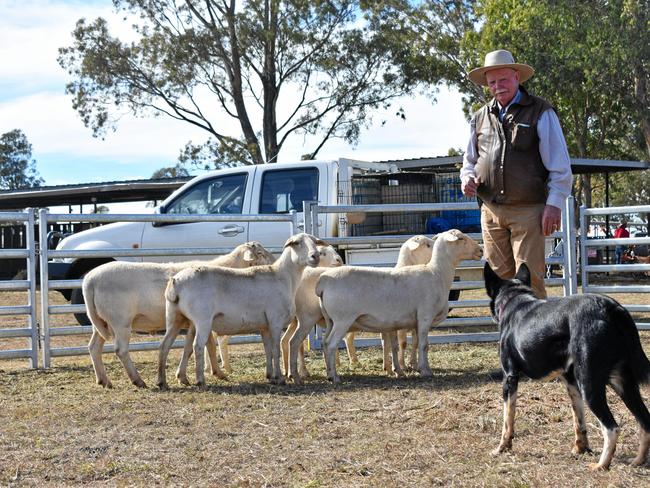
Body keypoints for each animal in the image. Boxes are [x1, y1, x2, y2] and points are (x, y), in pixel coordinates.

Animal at [81, 241, 274, 388]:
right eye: (259, 253)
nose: (273, 262)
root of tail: (89, 281)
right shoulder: (203, 319)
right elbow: (209, 346)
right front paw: (217, 373)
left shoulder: (193, 322)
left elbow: (190, 348)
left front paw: (184, 376)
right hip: (120, 321)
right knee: (120, 349)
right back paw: (138, 380)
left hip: (100, 322)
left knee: (94, 347)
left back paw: (104, 381)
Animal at [158, 233, 322, 388]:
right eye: (297, 243)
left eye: (315, 242)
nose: (315, 256)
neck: (284, 277)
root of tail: (176, 282)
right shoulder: (275, 320)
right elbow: (275, 349)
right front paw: (280, 378)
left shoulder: (264, 326)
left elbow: (268, 350)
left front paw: (270, 376)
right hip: (202, 320)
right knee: (197, 346)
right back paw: (200, 381)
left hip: (175, 317)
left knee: (165, 345)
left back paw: (163, 382)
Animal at [284, 234, 432, 384]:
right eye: (427, 245)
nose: (339, 260)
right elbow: (402, 343)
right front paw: (402, 367)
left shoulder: (391, 324)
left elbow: (395, 344)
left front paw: (393, 368)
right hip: (309, 318)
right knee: (297, 343)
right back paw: (302, 373)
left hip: (297, 320)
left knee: (286, 340)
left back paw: (290, 372)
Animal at [316, 230, 478, 386]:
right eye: (461, 238)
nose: (480, 250)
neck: (438, 273)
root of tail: (323, 282)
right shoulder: (425, 316)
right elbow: (424, 345)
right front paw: (425, 371)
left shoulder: (413, 322)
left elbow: (413, 344)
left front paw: (411, 368)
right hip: (342, 319)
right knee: (331, 344)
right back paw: (334, 377)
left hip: (330, 320)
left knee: (324, 342)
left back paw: (329, 373)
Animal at [480, 262, 648, 470]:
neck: (515, 299)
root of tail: (611, 307)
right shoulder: (569, 380)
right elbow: (579, 419)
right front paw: (580, 448)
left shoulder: (510, 377)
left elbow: (507, 419)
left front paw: (502, 448)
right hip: (623, 383)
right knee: (645, 421)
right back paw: (638, 460)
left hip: (590, 384)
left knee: (612, 428)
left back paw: (601, 465)